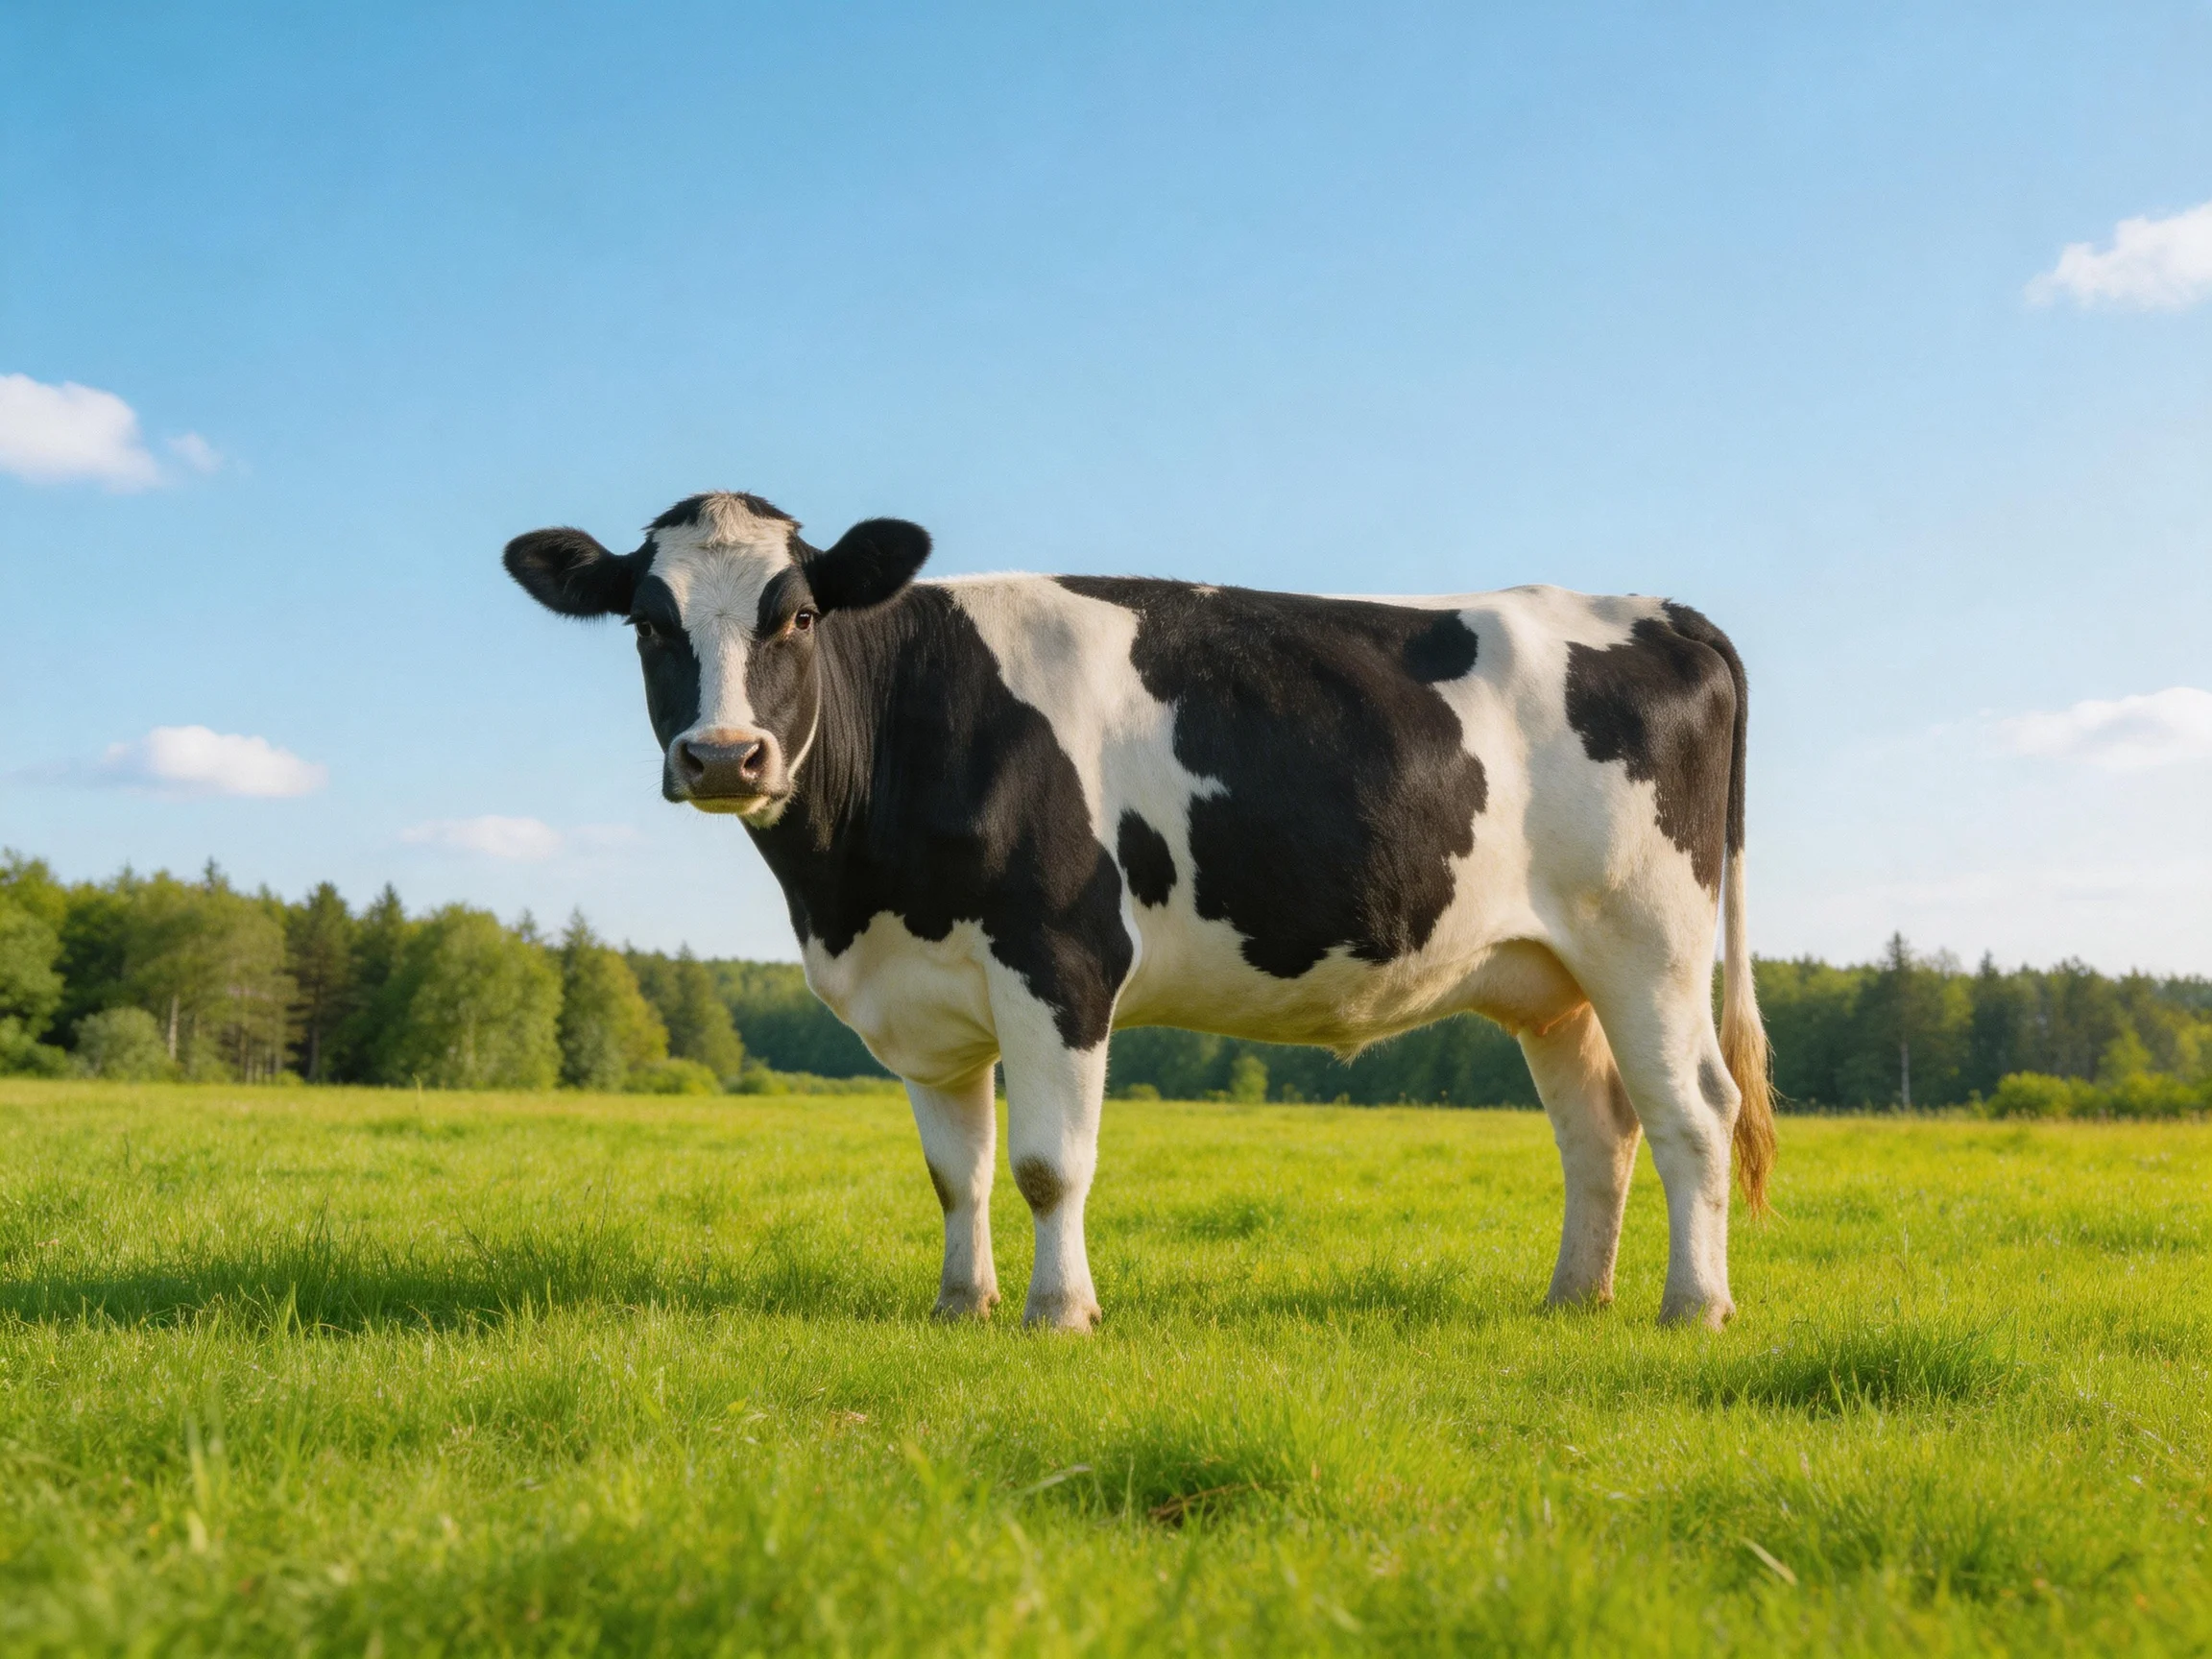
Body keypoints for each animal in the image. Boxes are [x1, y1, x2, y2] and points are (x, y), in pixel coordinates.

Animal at [504, 491, 1774, 1331]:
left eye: (800, 617)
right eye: (648, 623)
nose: (726, 756)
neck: (852, 893)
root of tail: (1653, 609)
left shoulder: (1059, 961)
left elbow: (1047, 1165)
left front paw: (1060, 1314)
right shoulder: (926, 998)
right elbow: (957, 1173)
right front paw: (960, 1306)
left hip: (1649, 942)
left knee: (1695, 1110)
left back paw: (1693, 1307)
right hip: (1552, 977)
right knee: (1599, 1126)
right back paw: (1573, 1300)